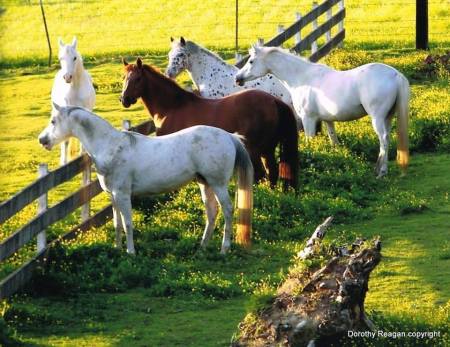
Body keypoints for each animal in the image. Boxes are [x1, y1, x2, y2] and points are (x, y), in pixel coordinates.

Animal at [38, 104, 253, 254]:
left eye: (53, 121)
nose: (42, 140)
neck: (111, 146)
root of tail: (229, 136)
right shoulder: (113, 196)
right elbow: (117, 224)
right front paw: (117, 249)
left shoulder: (123, 195)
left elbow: (128, 224)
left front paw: (131, 252)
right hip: (204, 183)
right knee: (212, 212)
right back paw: (203, 246)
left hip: (218, 184)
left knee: (227, 210)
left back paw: (224, 248)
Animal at [51, 37, 95, 165]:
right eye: (60, 58)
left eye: (74, 58)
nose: (67, 77)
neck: (75, 88)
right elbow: (65, 140)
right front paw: (64, 162)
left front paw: (82, 154)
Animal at [119, 58, 298, 192]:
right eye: (124, 78)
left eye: (137, 79)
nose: (124, 99)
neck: (172, 107)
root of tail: (274, 101)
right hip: (267, 151)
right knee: (272, 173)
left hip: (254, 150)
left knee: (261, 174)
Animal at [237, 45, 410, 177]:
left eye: (251, 61)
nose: (238, 78)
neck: (303, 78)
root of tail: (395, 74)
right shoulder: (328, 120)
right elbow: (334, 141)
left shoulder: (308, 119)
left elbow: (309, 141)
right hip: (387, 118)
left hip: (377, 118)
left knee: (384, 140)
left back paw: (381, 172)